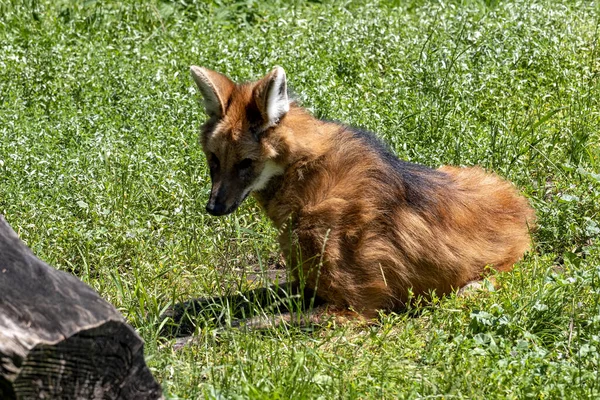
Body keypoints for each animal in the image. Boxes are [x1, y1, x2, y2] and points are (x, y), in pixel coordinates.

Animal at [188, 65, 536, 322]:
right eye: (214, 160)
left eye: (246, 163)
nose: (214, 207)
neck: (305, 176)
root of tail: (524, 210)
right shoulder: (305, 285)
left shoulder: (357, 304)